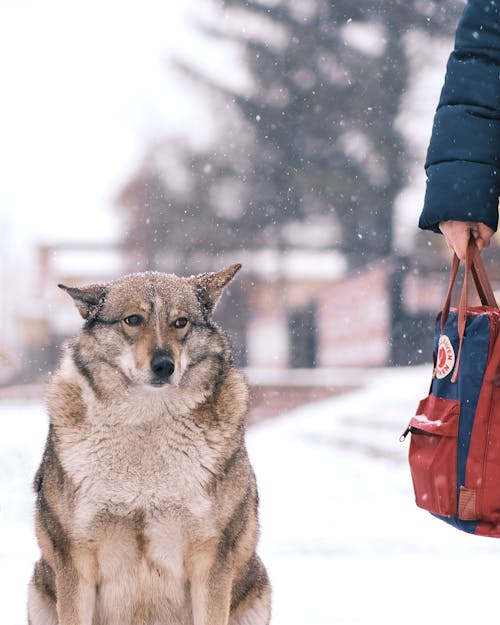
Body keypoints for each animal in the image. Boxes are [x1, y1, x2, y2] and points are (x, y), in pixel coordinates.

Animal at [28, 264, 270, 624]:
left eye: (180, 322)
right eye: (133, 319)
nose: (164, 365)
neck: (146, 423)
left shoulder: (211, 559)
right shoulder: (75, 559)